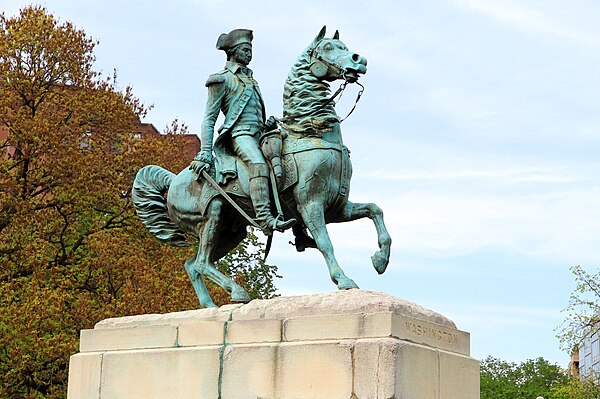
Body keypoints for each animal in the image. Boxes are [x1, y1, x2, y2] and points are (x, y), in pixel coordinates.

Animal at [131, 27, 392, 310]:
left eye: (344, 47)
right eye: (328, 48)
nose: (359, 60)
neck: (312, 133)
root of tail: (174, 181)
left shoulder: (337, 207)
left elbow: (375, 210)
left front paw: (380, 260)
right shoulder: (310, 204)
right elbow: (326, 243)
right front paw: (343, 278)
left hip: (231, 231)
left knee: (193, 265)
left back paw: (211, 306)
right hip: (213, 215)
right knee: (201, 261)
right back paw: (237, 291)